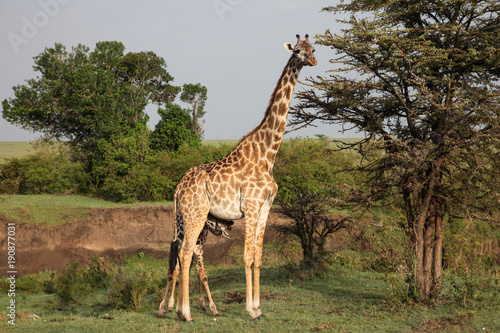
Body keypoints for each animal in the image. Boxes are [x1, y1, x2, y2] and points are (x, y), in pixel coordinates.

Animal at [168, 33, 316, 322]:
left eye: (313, 48)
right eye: (297, 51)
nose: (313, 60)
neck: (268, 153)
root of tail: (178, 189)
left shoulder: (265, 208)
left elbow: (258, 257)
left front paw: (258, 307)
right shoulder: (250, 206)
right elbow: (247, 257)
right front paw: (250, 309)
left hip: (188, 217)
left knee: (182, 254)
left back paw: (178, 309)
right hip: (195, 215)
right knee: (186, 254)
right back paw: (186, 313)